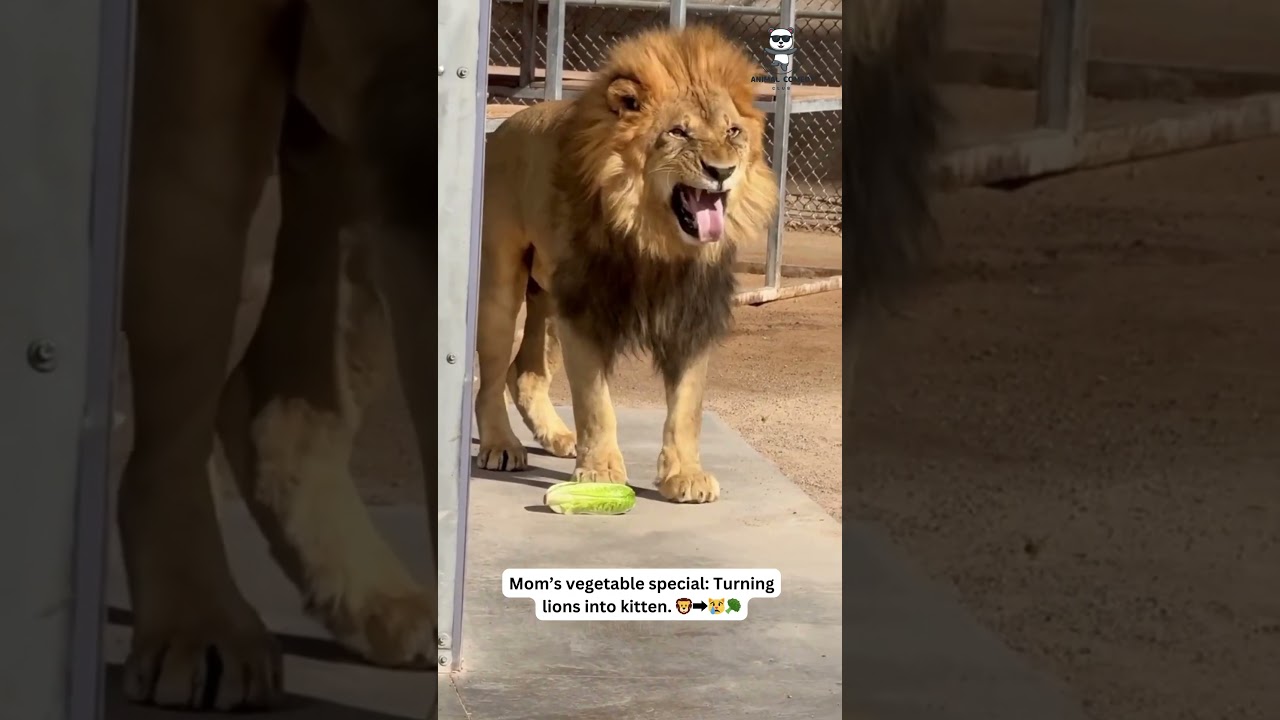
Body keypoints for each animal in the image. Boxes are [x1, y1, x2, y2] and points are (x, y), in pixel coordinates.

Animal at [474, 26, 777, 504]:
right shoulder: (586, 308)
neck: (658, 243)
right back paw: (501, 446)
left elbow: (688, 406)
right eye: (678, 132)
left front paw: (685, 475)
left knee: (525, 372)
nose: (722, 171)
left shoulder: (691, 314)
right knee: (489, 376)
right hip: (503, 286)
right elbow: (595, 403)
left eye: (733, 131)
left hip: (550, 295)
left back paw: (558, 436)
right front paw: (600, 471)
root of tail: (506, 125)